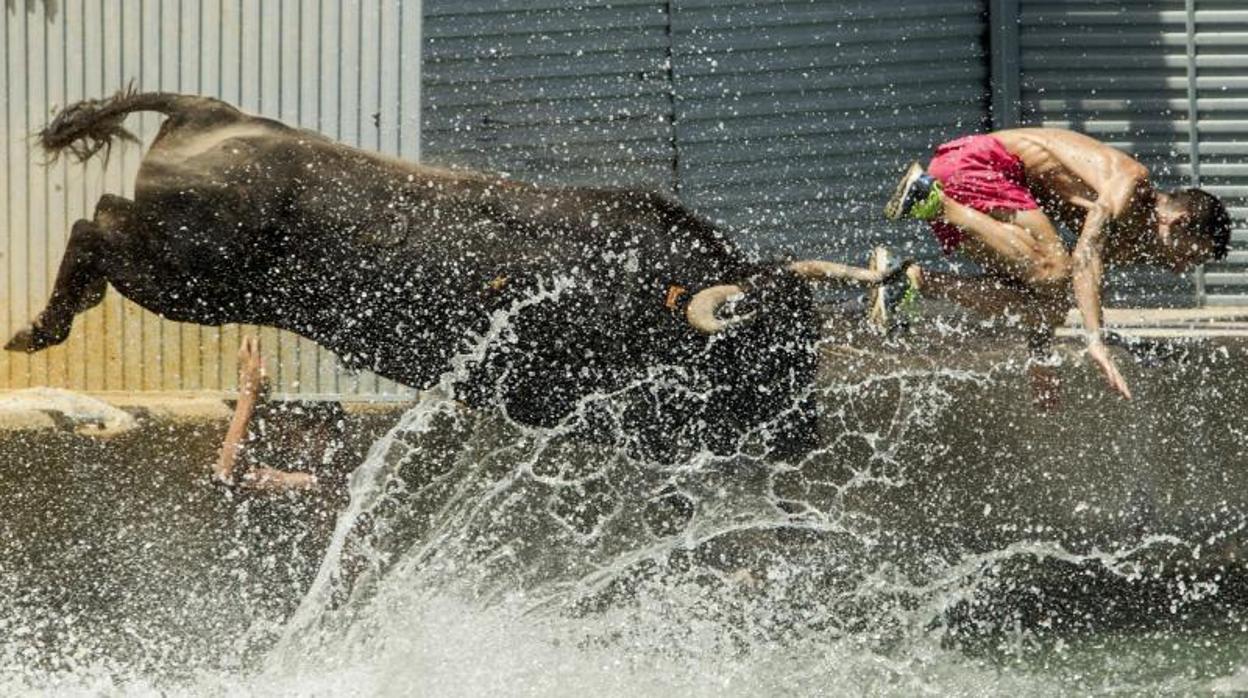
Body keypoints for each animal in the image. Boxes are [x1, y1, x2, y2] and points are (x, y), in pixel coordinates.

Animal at [4, 91, 893, 464]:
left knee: (99, 223)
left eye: (811, 337)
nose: (804, 435)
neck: (642, 285)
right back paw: (37, 327)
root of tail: (209, 113)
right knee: (93, 228)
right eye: (759, 346)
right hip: (189, 279)